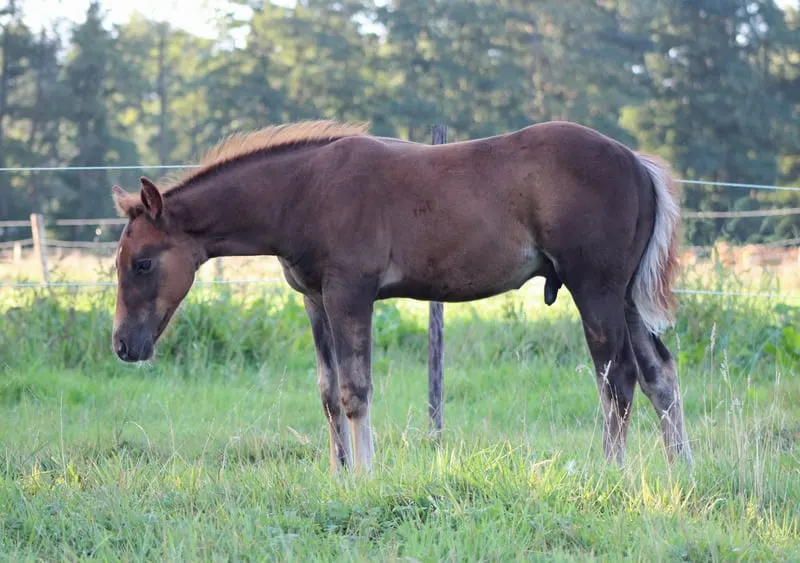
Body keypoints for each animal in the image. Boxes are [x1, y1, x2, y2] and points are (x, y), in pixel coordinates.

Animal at [110, 120, 693, 474]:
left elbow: (355, 390)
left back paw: (611, 471)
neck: (303, 190)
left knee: (617, 378)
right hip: (624, 297)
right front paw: (339, 475)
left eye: (141, 263)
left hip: (594, 288)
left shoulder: (350, 291)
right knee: (659, 372)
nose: (123, 346)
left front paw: (367, 475)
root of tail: (637, 162)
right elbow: (328, 391)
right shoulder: (314, 299)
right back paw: (680, 470)